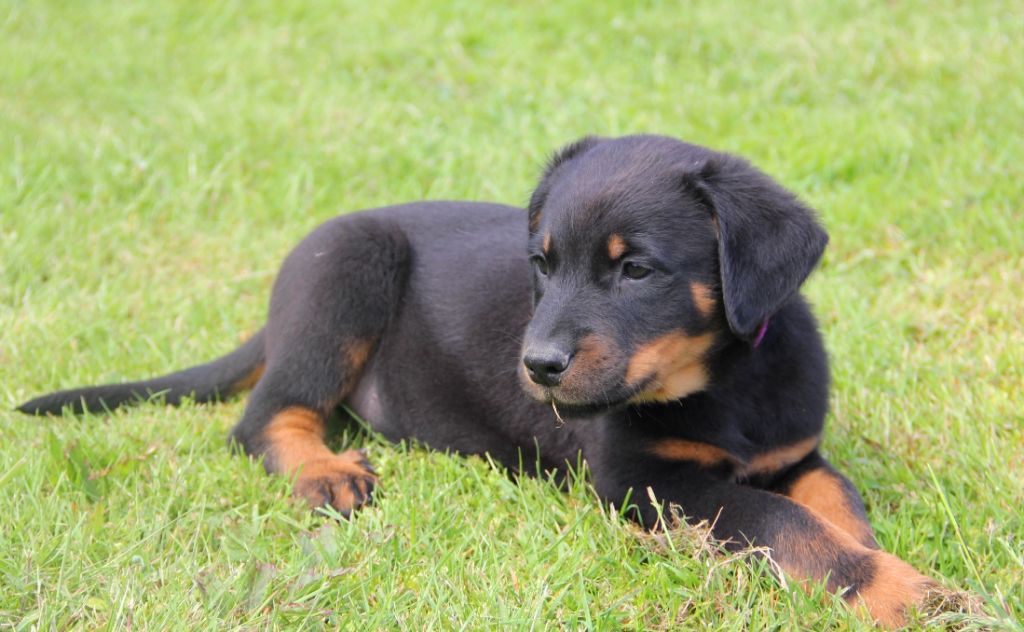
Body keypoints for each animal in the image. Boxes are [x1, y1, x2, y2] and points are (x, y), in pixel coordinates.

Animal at [19, 135, 936, 627]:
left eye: (636, 269)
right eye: (543, 264)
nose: (537, 368)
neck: (725, 381)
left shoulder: (794, 452)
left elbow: (829, 503)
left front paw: (872, 557)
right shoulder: (646, 483)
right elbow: (785, 523)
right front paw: (904, 593)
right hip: (345, 270)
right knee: (265, 417)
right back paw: (325, 474)